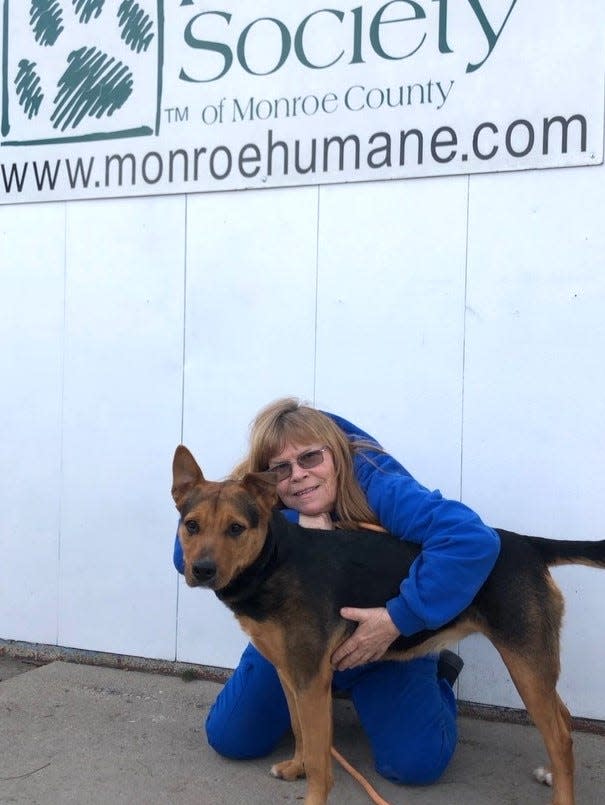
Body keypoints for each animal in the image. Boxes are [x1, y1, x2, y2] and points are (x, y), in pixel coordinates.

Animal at [170, 446, 604, 804]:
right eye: (191, 526)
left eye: (236, 528)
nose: (202, 570)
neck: (273, 560)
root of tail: (528, 543)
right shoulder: (290, 673)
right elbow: (299, 730)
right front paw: (296, 767)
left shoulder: (311, 679)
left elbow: (320, 757)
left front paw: (313, 791)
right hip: (534, 665)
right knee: (563, 719)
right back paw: (553, 774)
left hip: (526, 662)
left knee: (561, 735)